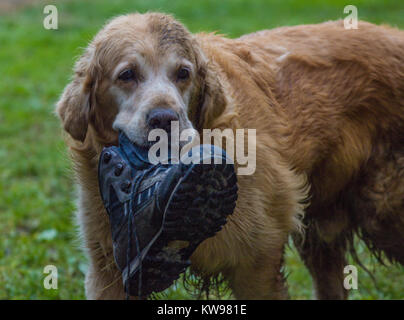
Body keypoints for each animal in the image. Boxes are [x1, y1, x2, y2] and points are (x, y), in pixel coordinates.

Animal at [56, 11, 404, 298]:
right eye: (127, 75)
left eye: (183, 73)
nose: (164, 119)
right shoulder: (107, 271)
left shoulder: (257, 264)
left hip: (382, 211)